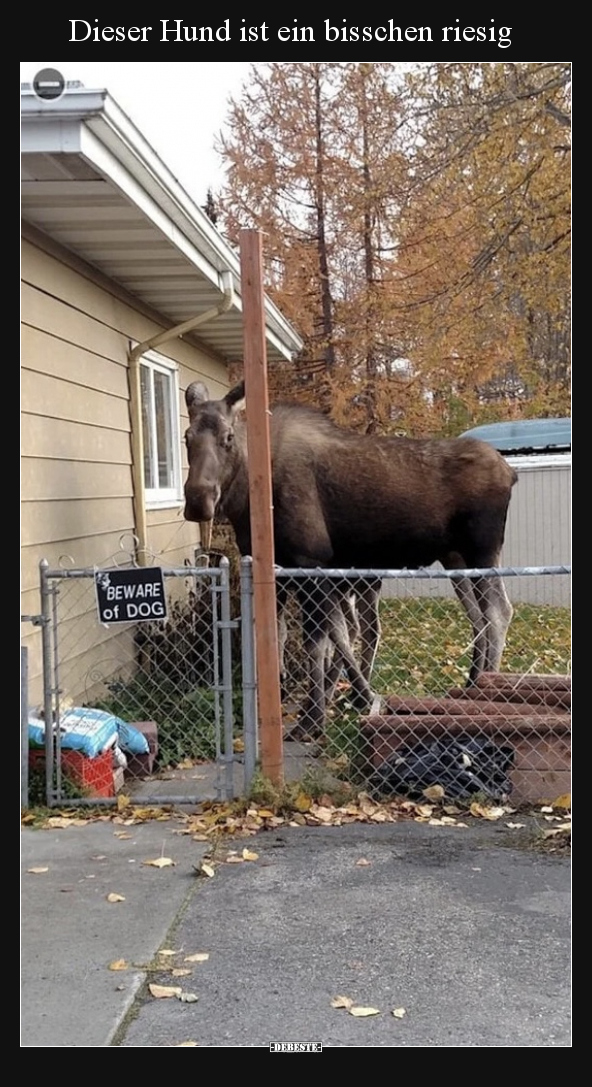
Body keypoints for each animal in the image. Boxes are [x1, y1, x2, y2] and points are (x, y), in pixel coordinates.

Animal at [182, 378, 514, 734]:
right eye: (186, 437)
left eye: (228, 437)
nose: (198, 500)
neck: (248, 500)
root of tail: (510, 473)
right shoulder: (282, 572)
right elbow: (289, 635)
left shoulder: (310, 563)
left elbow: (318, 642)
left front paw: (314, 717)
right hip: (455, 560)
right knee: (477, 618)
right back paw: (471, 683)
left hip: (482, 551)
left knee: (498, 612)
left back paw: (486, 692)